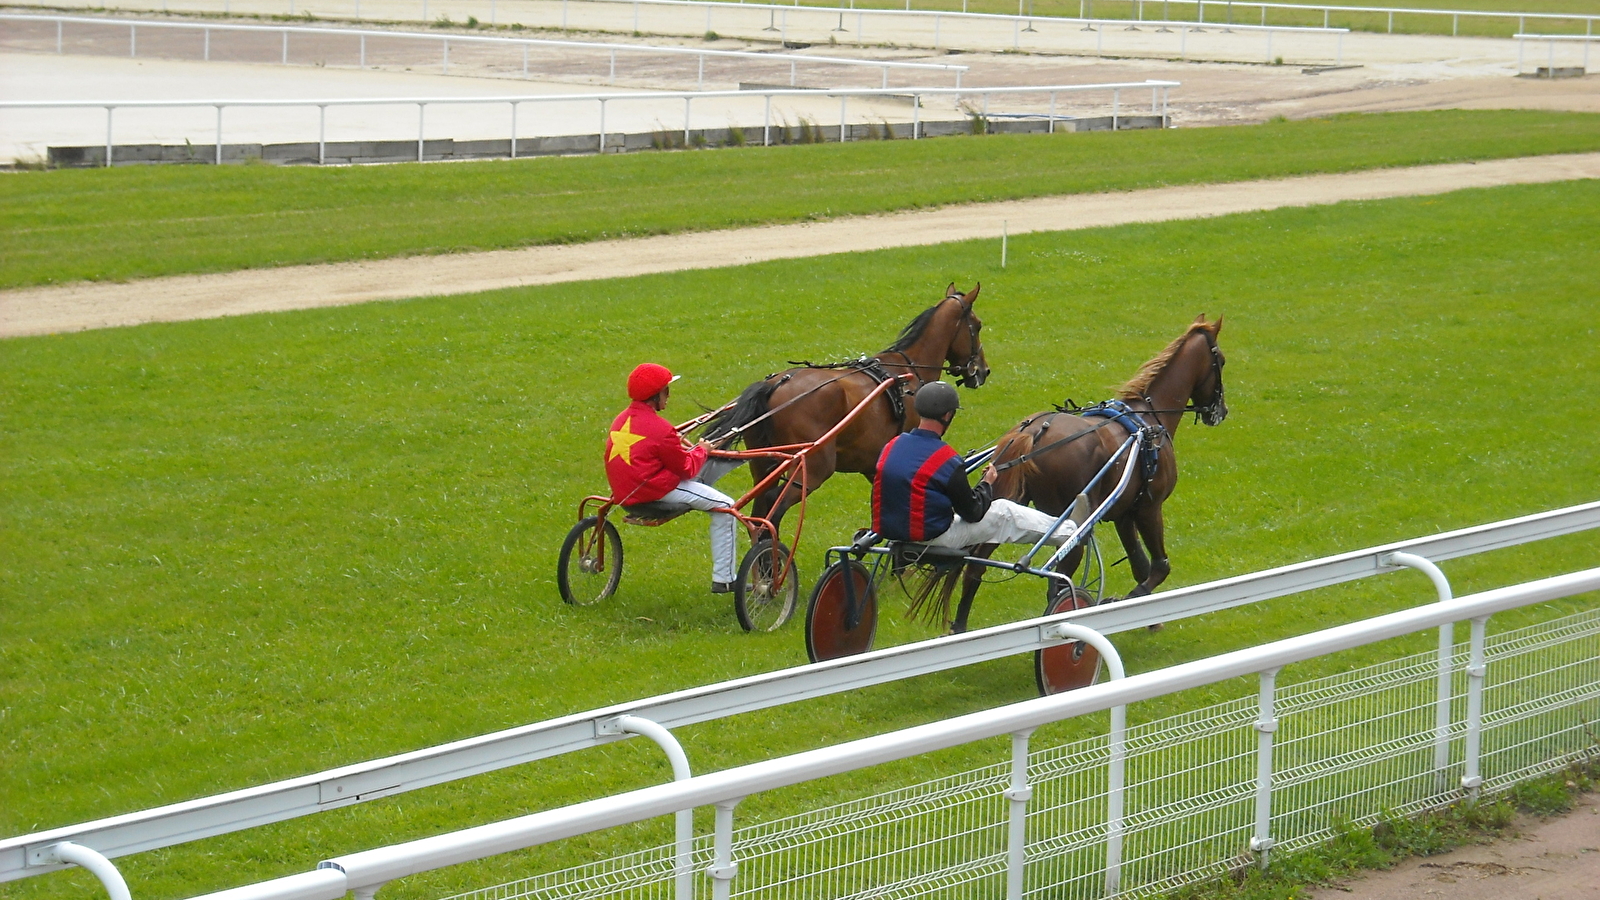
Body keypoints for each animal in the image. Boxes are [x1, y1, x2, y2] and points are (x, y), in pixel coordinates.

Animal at [710, 283, 985, 528]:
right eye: (978, 325)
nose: (983, 370)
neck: (909, 370)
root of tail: (776, 384)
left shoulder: (873, 465)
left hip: (764, 464)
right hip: (813, 468)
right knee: (772, 510)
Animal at [940, 313, 1228, 630]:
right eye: (1221, 361)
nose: (1221, 410)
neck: (1149, 418)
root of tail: (1034, 432)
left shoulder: (1123, 513)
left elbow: (1139, 565)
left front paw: (1148, 618)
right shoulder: (1149, 507)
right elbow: (1159, 566)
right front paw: (1126, 603)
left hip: (1007, 501)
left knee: (975, 568)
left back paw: (959, 626)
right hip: (1072, 522)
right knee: (1058, 580)